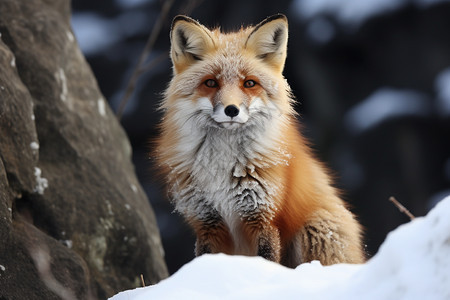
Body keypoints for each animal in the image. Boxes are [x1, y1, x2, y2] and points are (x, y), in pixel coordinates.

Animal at [156, 14, 366, 268]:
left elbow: (267, 260)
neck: (223, 162)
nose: (231, 110)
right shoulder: (206, 221)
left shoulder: (263, 218)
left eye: (249, 83)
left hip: (314, 234)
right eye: (211, 83)